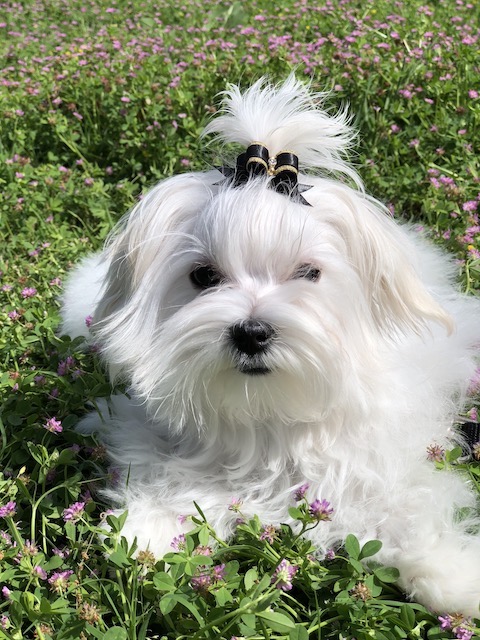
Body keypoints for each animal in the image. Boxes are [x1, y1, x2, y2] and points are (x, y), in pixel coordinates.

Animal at [61, 77, 480, 616]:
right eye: (204, 276)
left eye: (308, 273)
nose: (252, 332)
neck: (267, 411)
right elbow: (166, 471)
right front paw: (148, 528)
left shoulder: (382, 457)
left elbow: (411, 505)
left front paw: (454, 573)